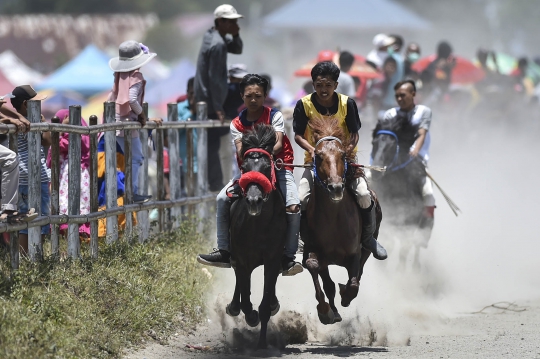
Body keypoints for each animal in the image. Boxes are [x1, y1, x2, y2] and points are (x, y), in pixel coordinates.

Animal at [227, 125, 288, 350]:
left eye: (266, 166)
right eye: (244, 167)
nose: (254, 201)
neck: (257, 226)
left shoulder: (272, 259)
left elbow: (265, 301)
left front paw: (262, 343)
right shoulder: (242, 258)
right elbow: (246, 296)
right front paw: (250, 315)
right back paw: (234, 306)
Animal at [302, 117, 382, 326]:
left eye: (343, 155)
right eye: (318, 156)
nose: (336, 187)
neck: (334, 220)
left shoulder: (354, 253)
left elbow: (353, 283)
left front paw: (345, 294)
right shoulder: (316, 253)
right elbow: (314, 268)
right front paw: (326, 311)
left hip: (367, 246)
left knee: (360, 271)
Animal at [370, 116, 432, 268]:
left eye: (392, 146)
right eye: (374, 143)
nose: (376, 171)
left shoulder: (409, 224)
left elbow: (405, 248)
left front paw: (400, 270)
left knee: (417, 244)